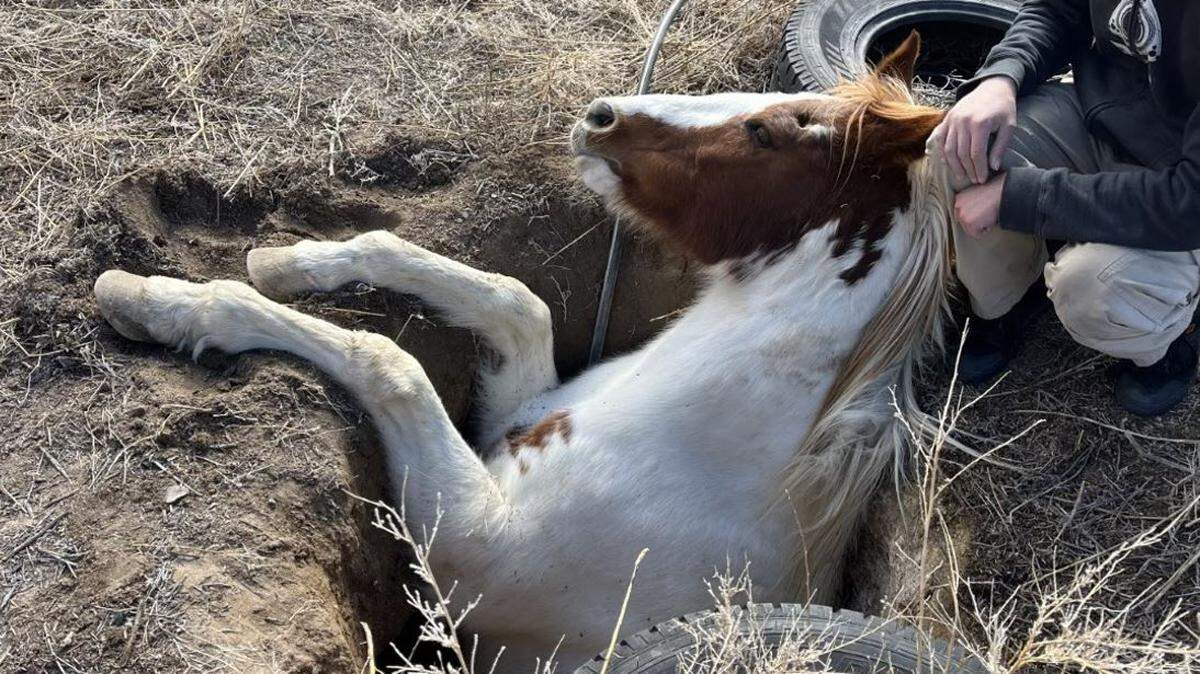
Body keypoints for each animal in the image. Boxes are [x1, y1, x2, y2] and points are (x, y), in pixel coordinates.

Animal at [93, 33, 953, 671]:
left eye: (764, 131)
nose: (600, 116)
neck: (706, 442)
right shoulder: (509, 411)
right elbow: (510, 300)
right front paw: (288, 261)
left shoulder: (466, 548)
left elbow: (388, 363)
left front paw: (156, 301)